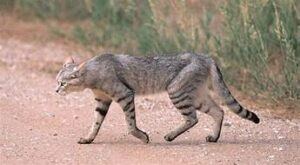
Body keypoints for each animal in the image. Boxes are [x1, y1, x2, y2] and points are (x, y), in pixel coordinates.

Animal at [55, 52, 258, 143]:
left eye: (63, 83)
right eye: (57, 81)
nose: (56, 90)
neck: (91, 74)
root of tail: (206, 57)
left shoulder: (125, 95)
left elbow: (130, 124)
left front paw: (142, 136)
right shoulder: (102, 100)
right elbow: (96, 122)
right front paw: (88, 138)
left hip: (176, 91)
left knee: (193, 118)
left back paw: (171, 135)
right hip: (196, 95)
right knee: (219, 111)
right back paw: (214, 137)